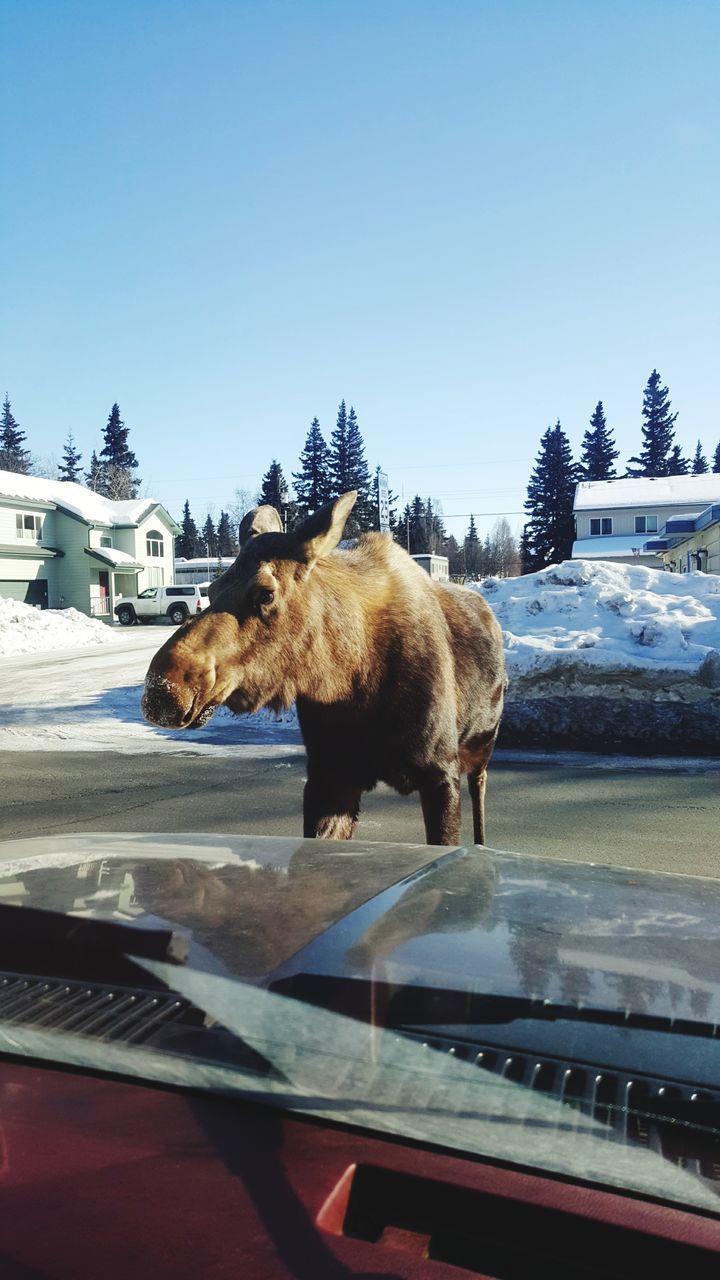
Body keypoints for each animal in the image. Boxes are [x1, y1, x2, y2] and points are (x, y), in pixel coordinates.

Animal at [141, 494, 504, 844]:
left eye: (266, 593)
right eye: (213, 590)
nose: (163, 689)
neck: (350, 681)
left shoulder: (440, 772)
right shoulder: (330, 774)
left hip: (482, 749)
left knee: (481, 794)